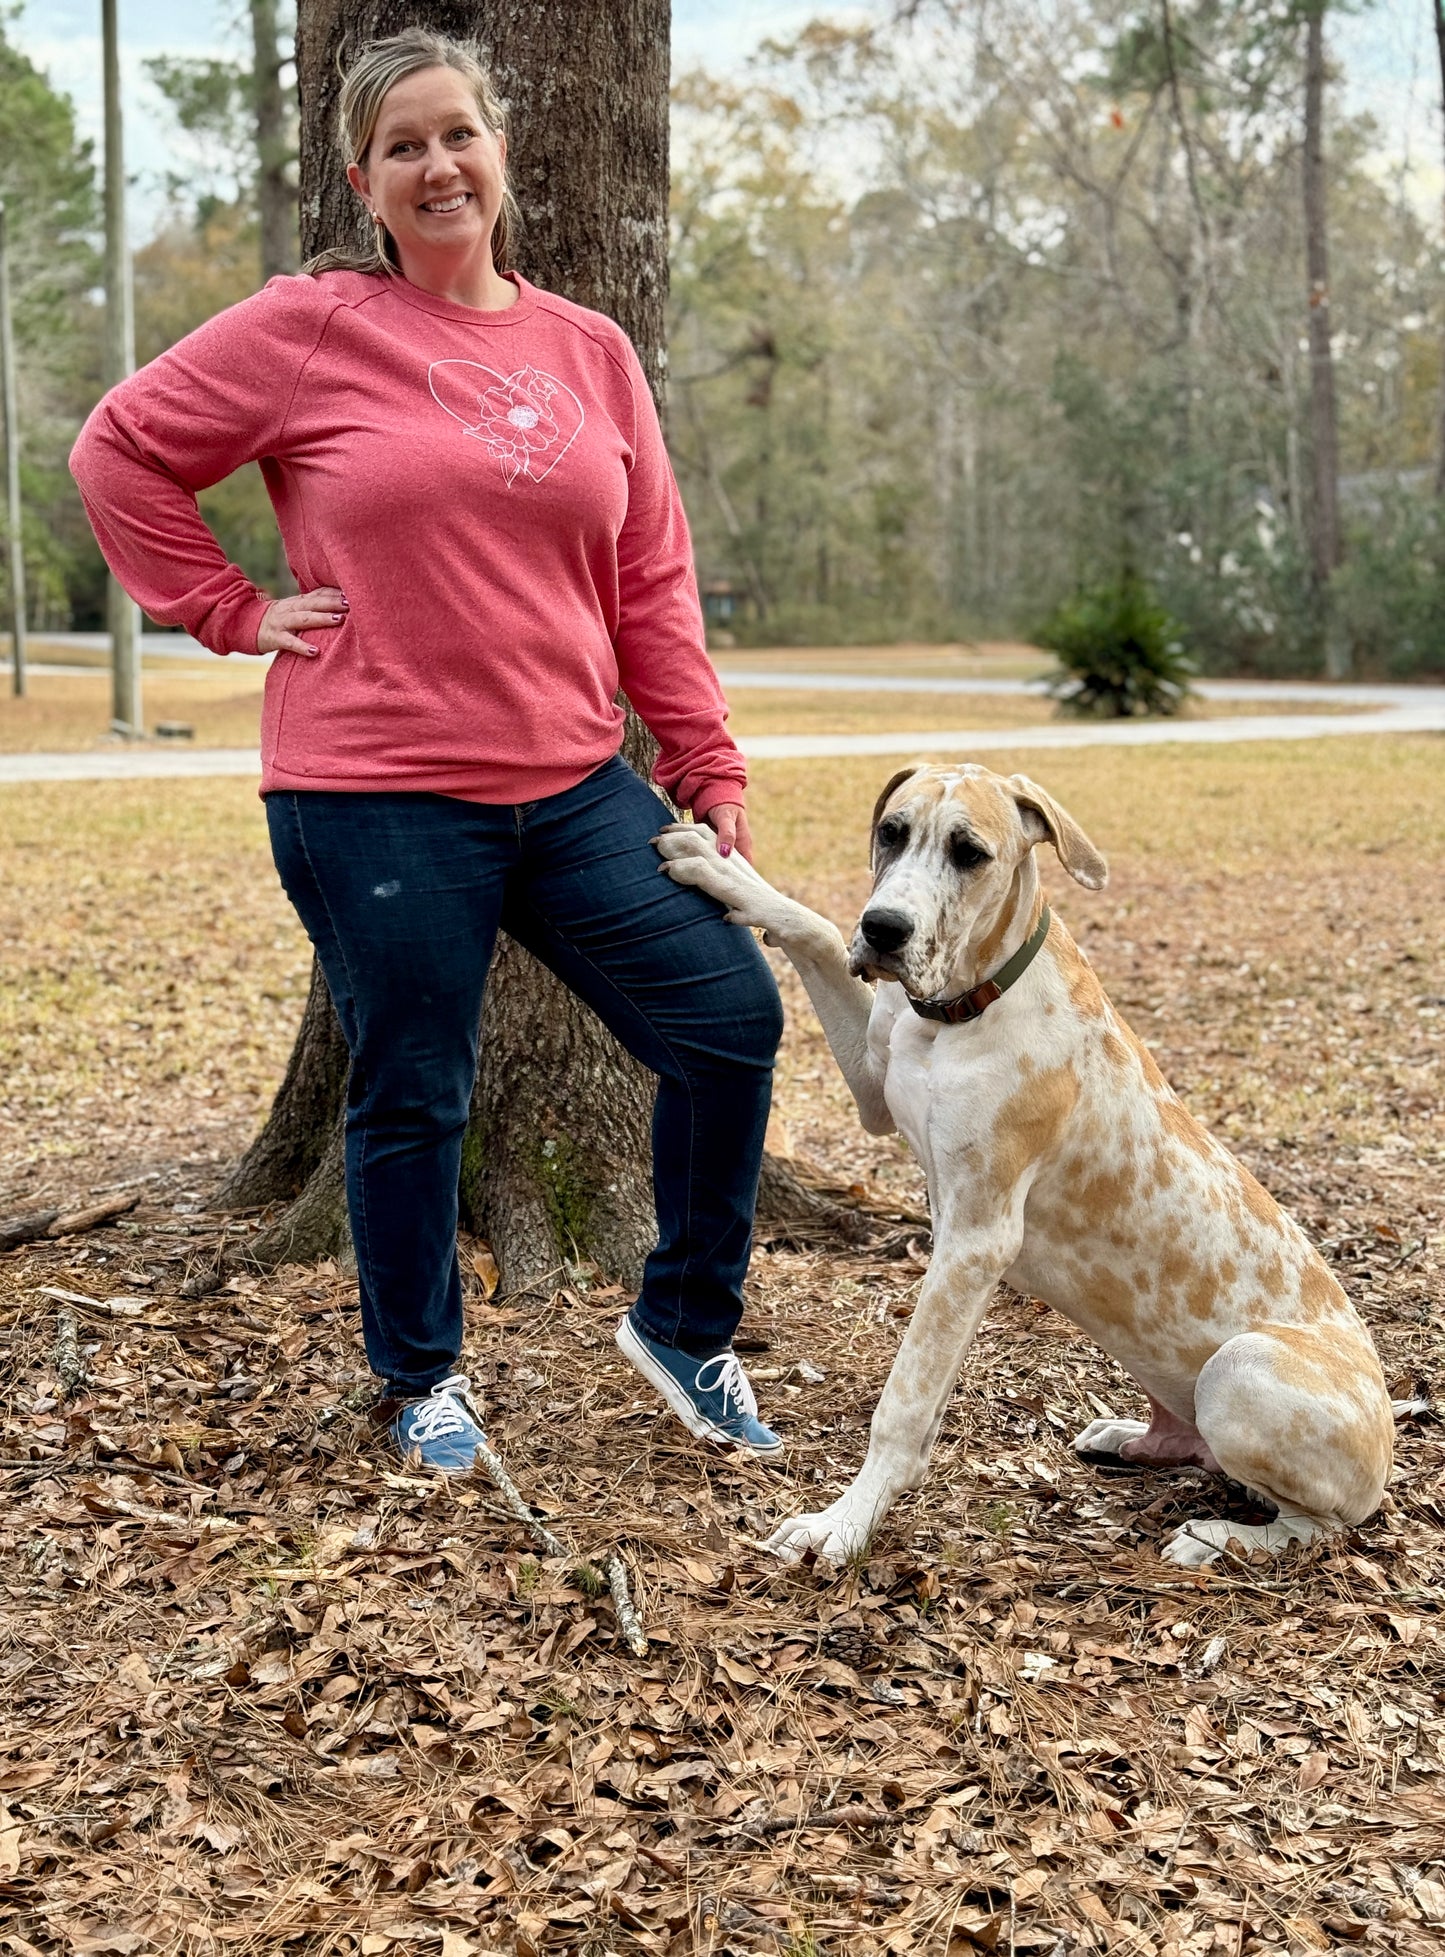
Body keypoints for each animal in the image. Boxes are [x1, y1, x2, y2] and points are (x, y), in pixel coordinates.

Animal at [650, 755, 1386, 1565]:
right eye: (891, 831)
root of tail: (1388, 1446)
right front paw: (726, 869)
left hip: (1242, 1371)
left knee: (1315, 1527)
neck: (965, 1004)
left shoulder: (977, 1239)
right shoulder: (878, 1096)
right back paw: (1132, 1437)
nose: (883, 928)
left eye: (970, 852)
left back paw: (1216, 1538)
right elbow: (811, 927)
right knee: (1192, 1445)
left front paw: (842, 1522)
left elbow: (902, 1400)